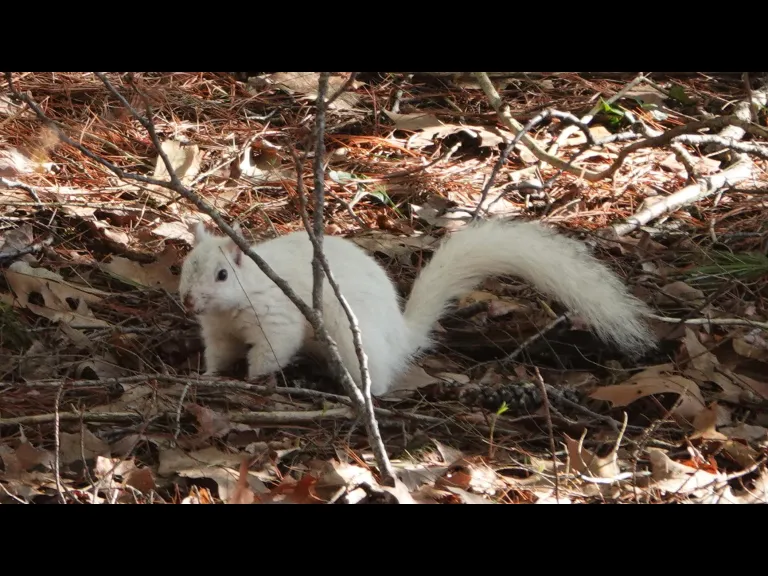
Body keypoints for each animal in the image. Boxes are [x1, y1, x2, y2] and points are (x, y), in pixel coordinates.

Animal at [178, 219, 656, 396]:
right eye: (185, 265)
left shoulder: (277, 316)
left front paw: (254, 378)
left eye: (222, 275)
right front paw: (209, 375)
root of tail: (400, 338)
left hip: (352, 340)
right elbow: (219, 353)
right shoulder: (217, 331)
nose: (187, 300)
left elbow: (273, 348)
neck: (229, 308)